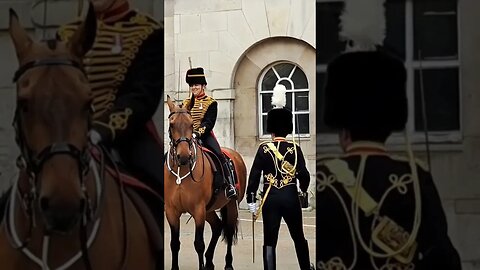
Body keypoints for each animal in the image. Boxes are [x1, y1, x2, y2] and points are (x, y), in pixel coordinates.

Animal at [165, 96, 248, 268]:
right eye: (171, 124)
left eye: (191, 124)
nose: (184, 156)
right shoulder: (171, 211)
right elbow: (174, 244)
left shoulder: (198, 210)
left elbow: (199, 244)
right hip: (209, 208)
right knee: (217, 226)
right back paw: (209, 261)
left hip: (230, 205)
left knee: (228, 230)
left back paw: (228, 263)